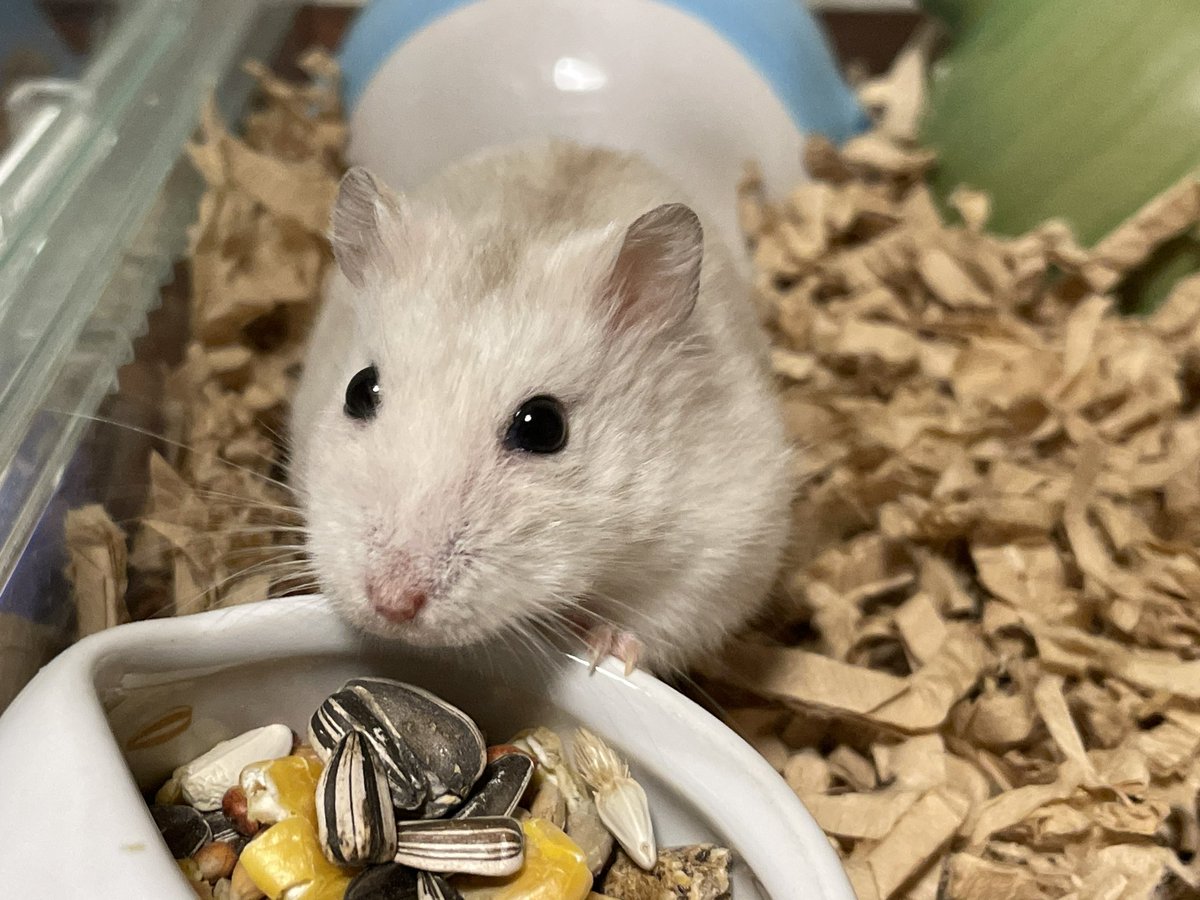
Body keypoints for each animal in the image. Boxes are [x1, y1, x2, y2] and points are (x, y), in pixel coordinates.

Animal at [288, 139, 792, 674]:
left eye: (543, 427)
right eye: (358, 390)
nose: (392, 605)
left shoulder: (724, 542)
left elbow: (655, 623)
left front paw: (601, 646)